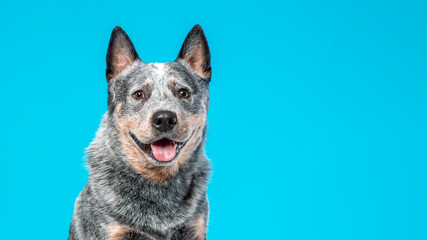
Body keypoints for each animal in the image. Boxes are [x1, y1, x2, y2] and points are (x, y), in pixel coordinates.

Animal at [68, 24, 212, 240]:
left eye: (183, 92)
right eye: (139, 94)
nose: (164, 119)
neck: (158, 183)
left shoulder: (194, 228)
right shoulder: (113, 230)